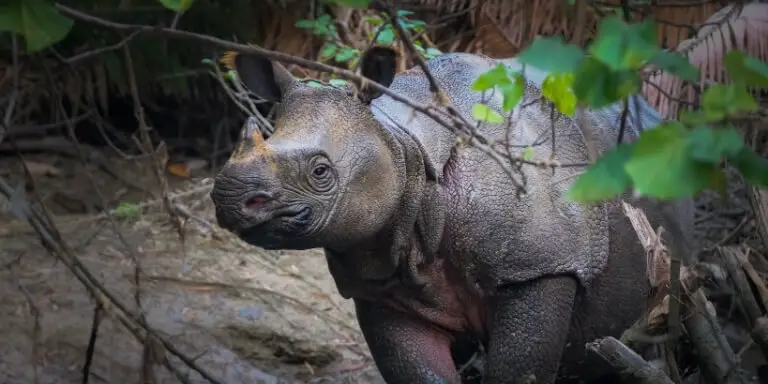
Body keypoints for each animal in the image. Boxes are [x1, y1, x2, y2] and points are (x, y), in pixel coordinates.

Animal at [210, 46, 696, 382]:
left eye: (320, 171)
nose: (230, 199)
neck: (402, 150)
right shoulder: (383, 284)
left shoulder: (543, 264)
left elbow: (520, 370)